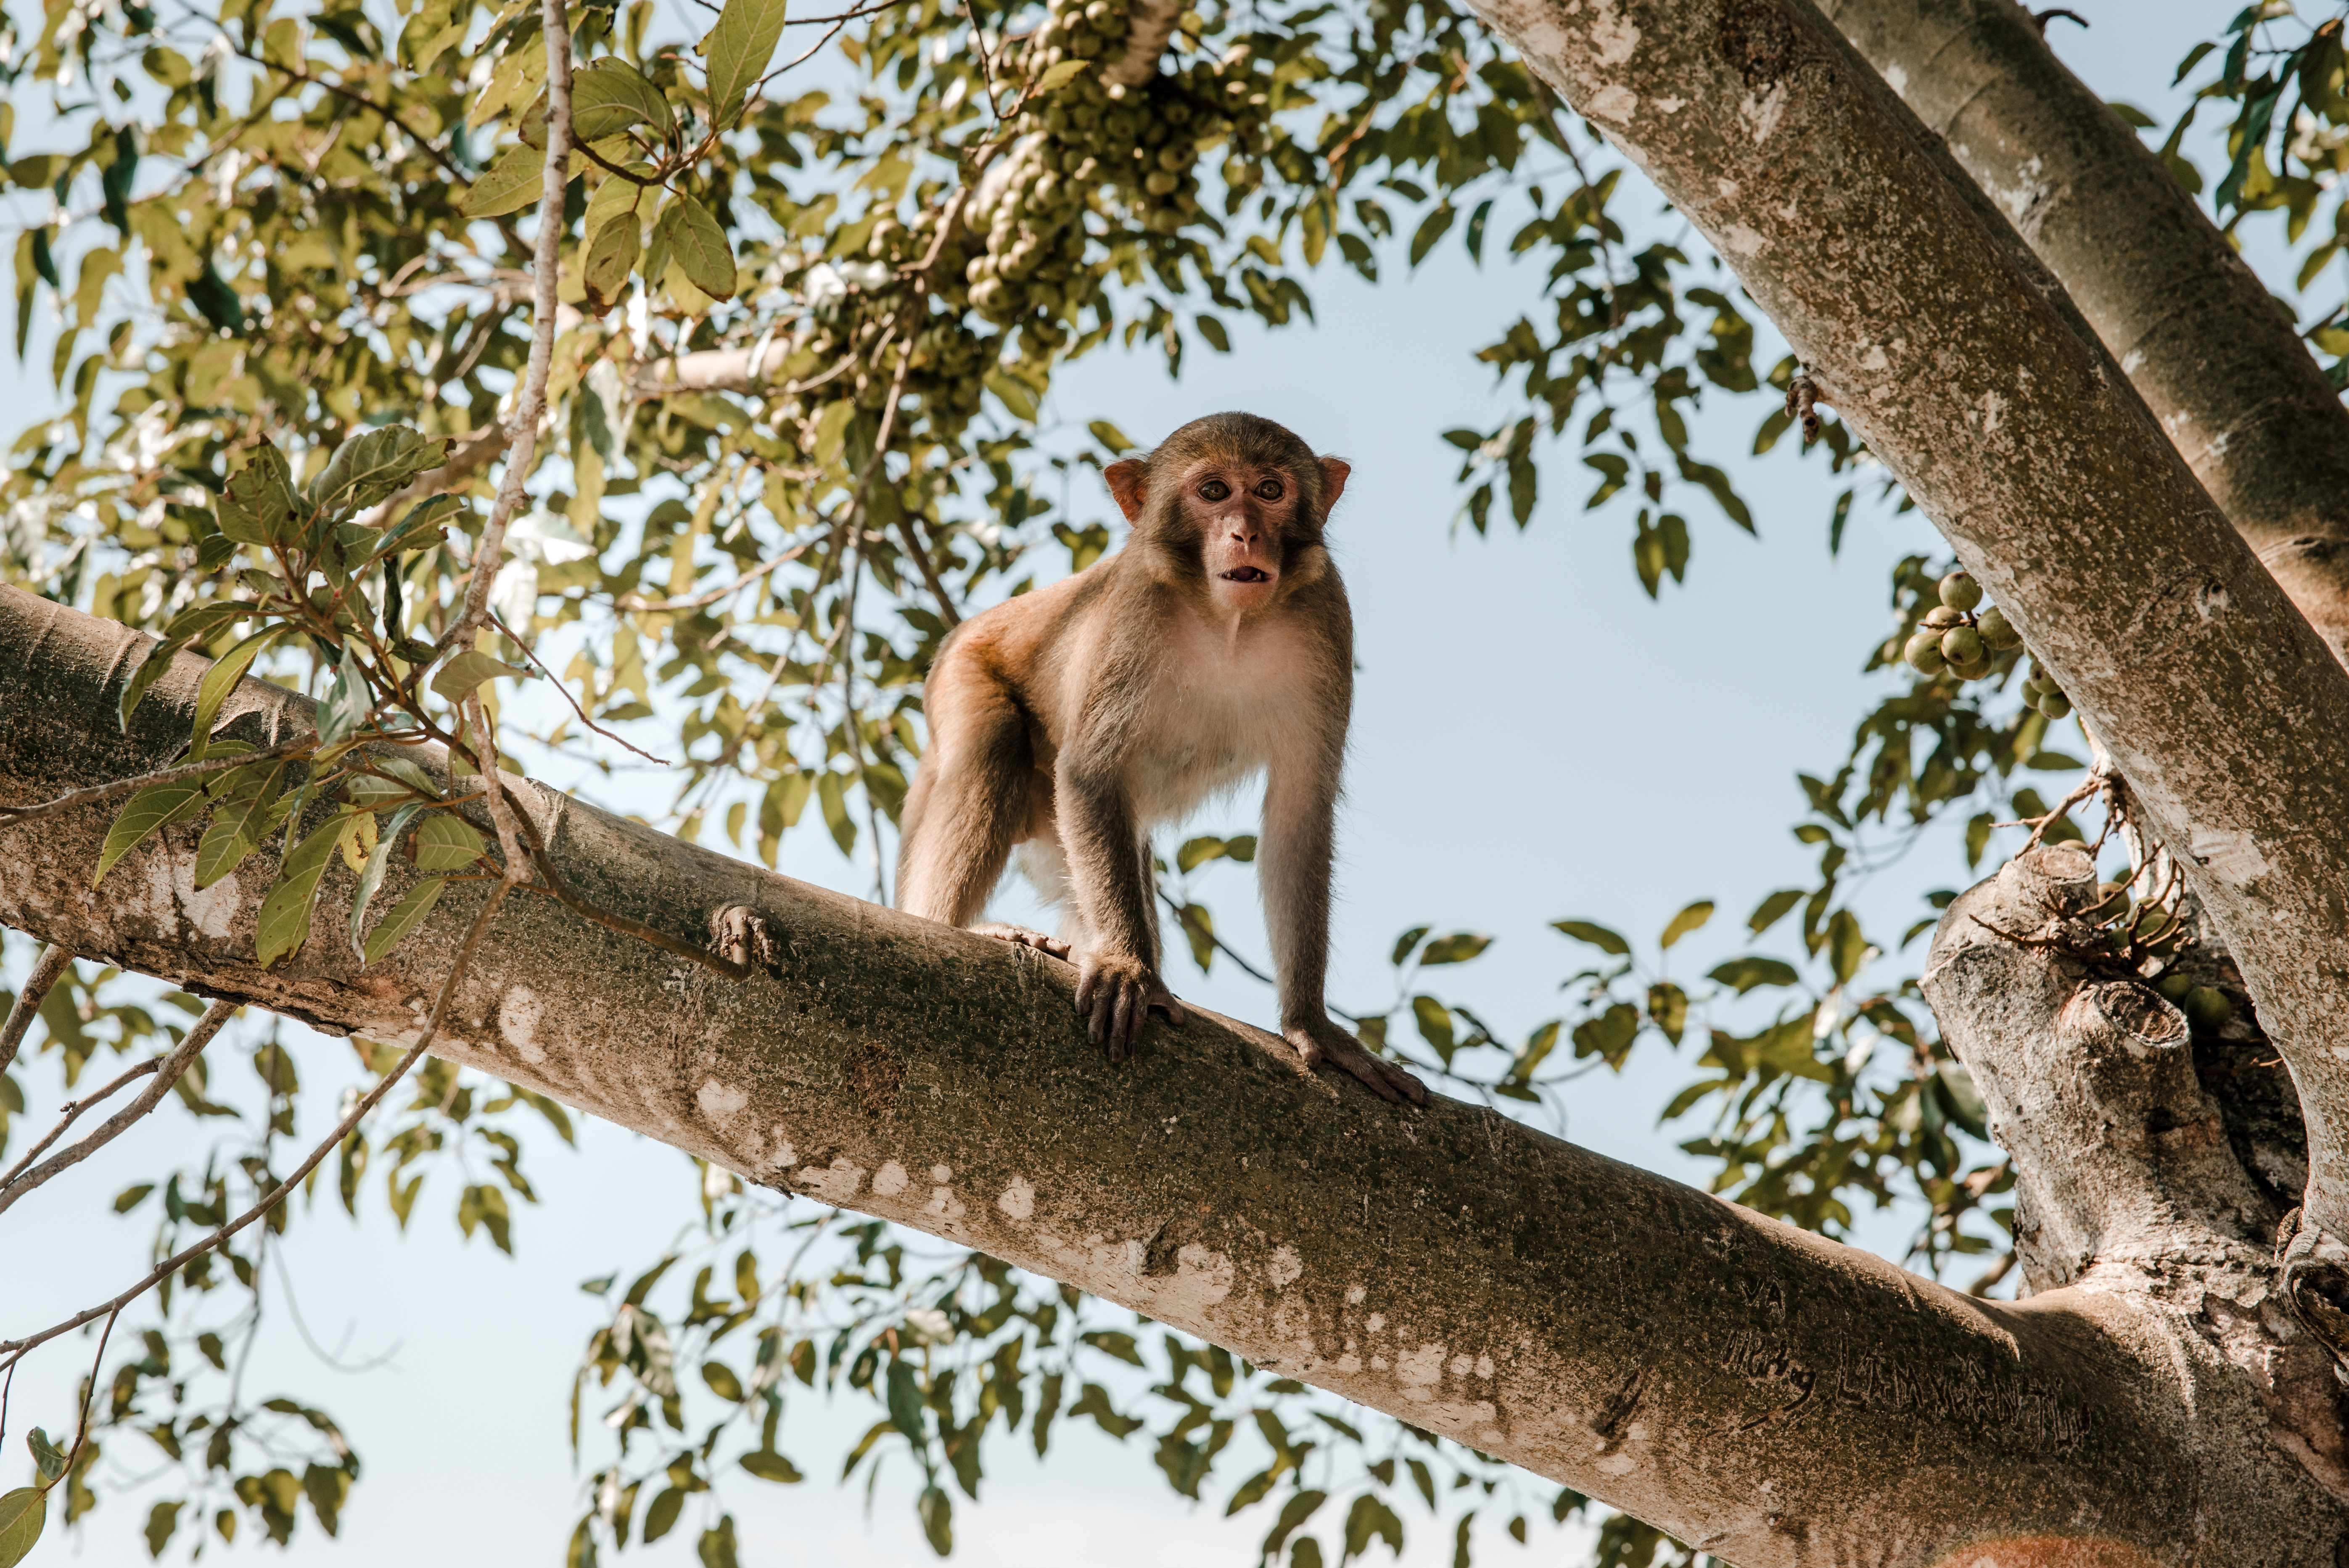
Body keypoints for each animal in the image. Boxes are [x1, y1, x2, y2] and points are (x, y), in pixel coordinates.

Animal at [881, 410, 1424, 1105]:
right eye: (1213, 492)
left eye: (1269, 491)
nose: (1245, 533)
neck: (1227, 624)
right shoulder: (1136, 607)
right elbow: (1090, 774)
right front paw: (1125, 967)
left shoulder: (1328, 615)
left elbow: (1300, 812)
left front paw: (1314, 1025)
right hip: (959, 674)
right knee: (993, 747)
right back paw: (958, 927)